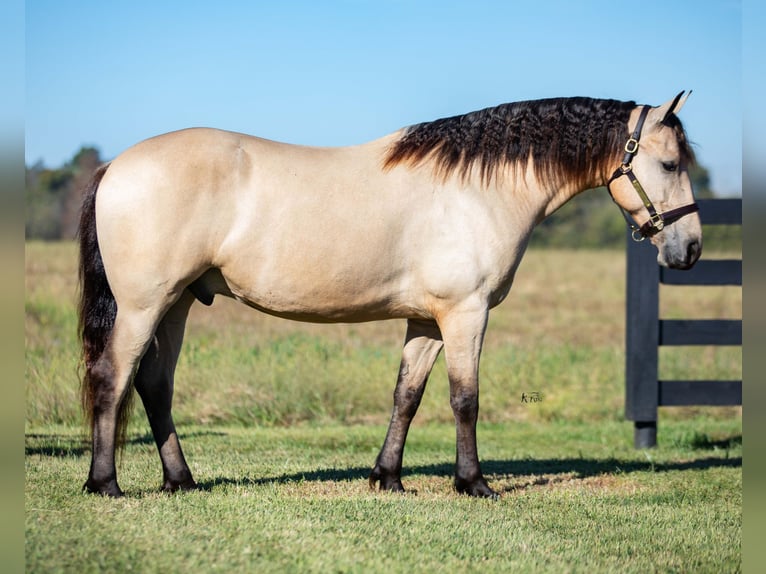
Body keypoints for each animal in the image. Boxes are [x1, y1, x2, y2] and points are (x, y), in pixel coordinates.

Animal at [78, 92, 702, 498]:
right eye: (669, 163)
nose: (690, 248)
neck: (476, 189)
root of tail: (115, 166)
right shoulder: (465, 314)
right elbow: (464, 398)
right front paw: (474, 483)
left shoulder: (427, 321)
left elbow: (407, 395)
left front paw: (387, 477)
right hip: (143, 306)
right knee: (113, 378)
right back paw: (104, 483)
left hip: (178, 304)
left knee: (155, 385)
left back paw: (181, 481)